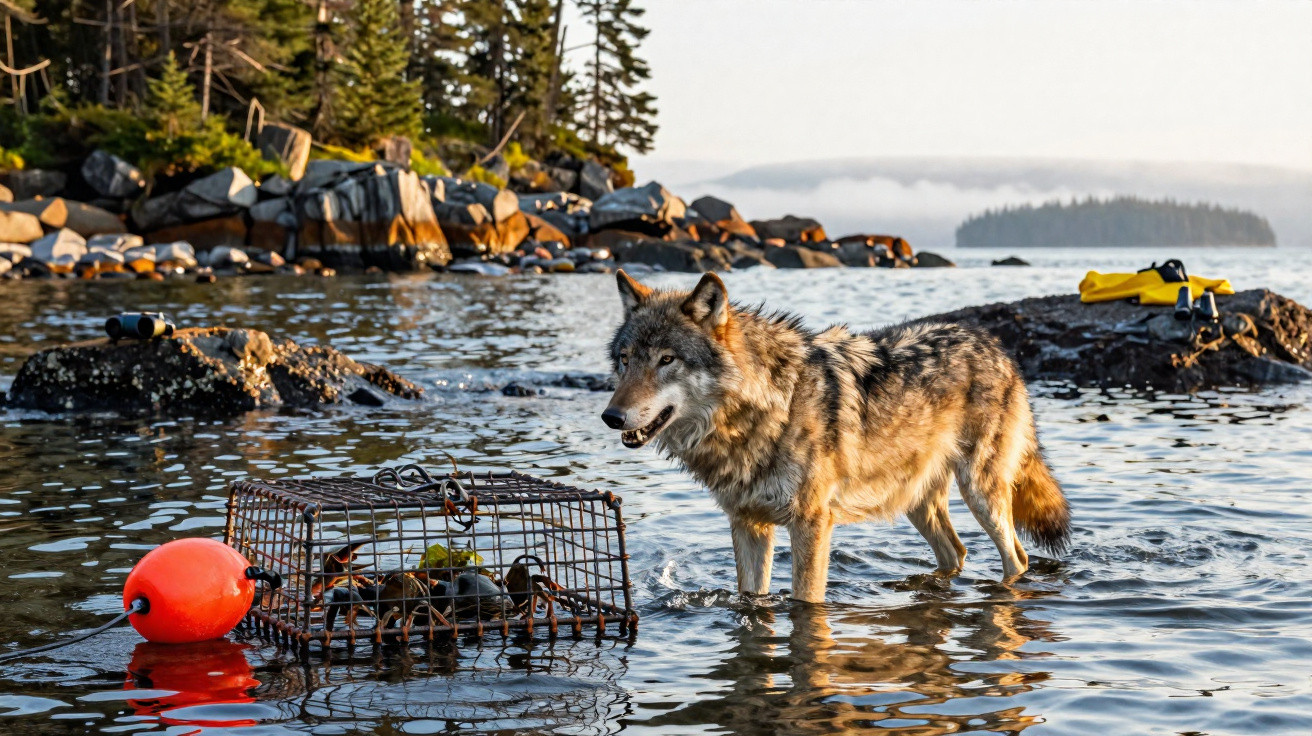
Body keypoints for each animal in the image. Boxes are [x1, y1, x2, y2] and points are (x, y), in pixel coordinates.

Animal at [601, 270, 1070, 603]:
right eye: (625, 359)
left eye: (667, 360)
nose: (611, 416)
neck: (771, 406)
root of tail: (995, 345)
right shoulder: (747, 524)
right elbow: (752, 595)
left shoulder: (811, 523)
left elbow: (804, 601)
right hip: (916, 502)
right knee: (956, 553)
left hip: (981, 494)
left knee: (1017, 559)